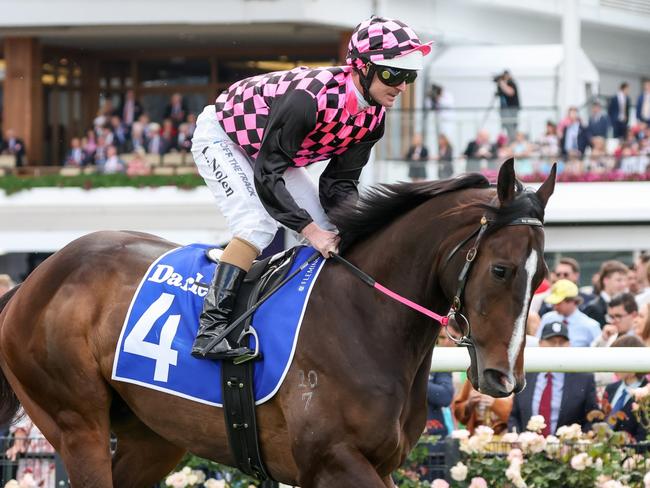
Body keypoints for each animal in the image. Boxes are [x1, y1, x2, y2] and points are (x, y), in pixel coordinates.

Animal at [0, 159, 552, 484]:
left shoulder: (381, 463)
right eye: (501, 269)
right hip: (76, 422)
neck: (362, 318)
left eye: (543, 274)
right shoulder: (333, 461)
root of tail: (31, 281)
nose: (503, 378)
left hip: (151, 437)